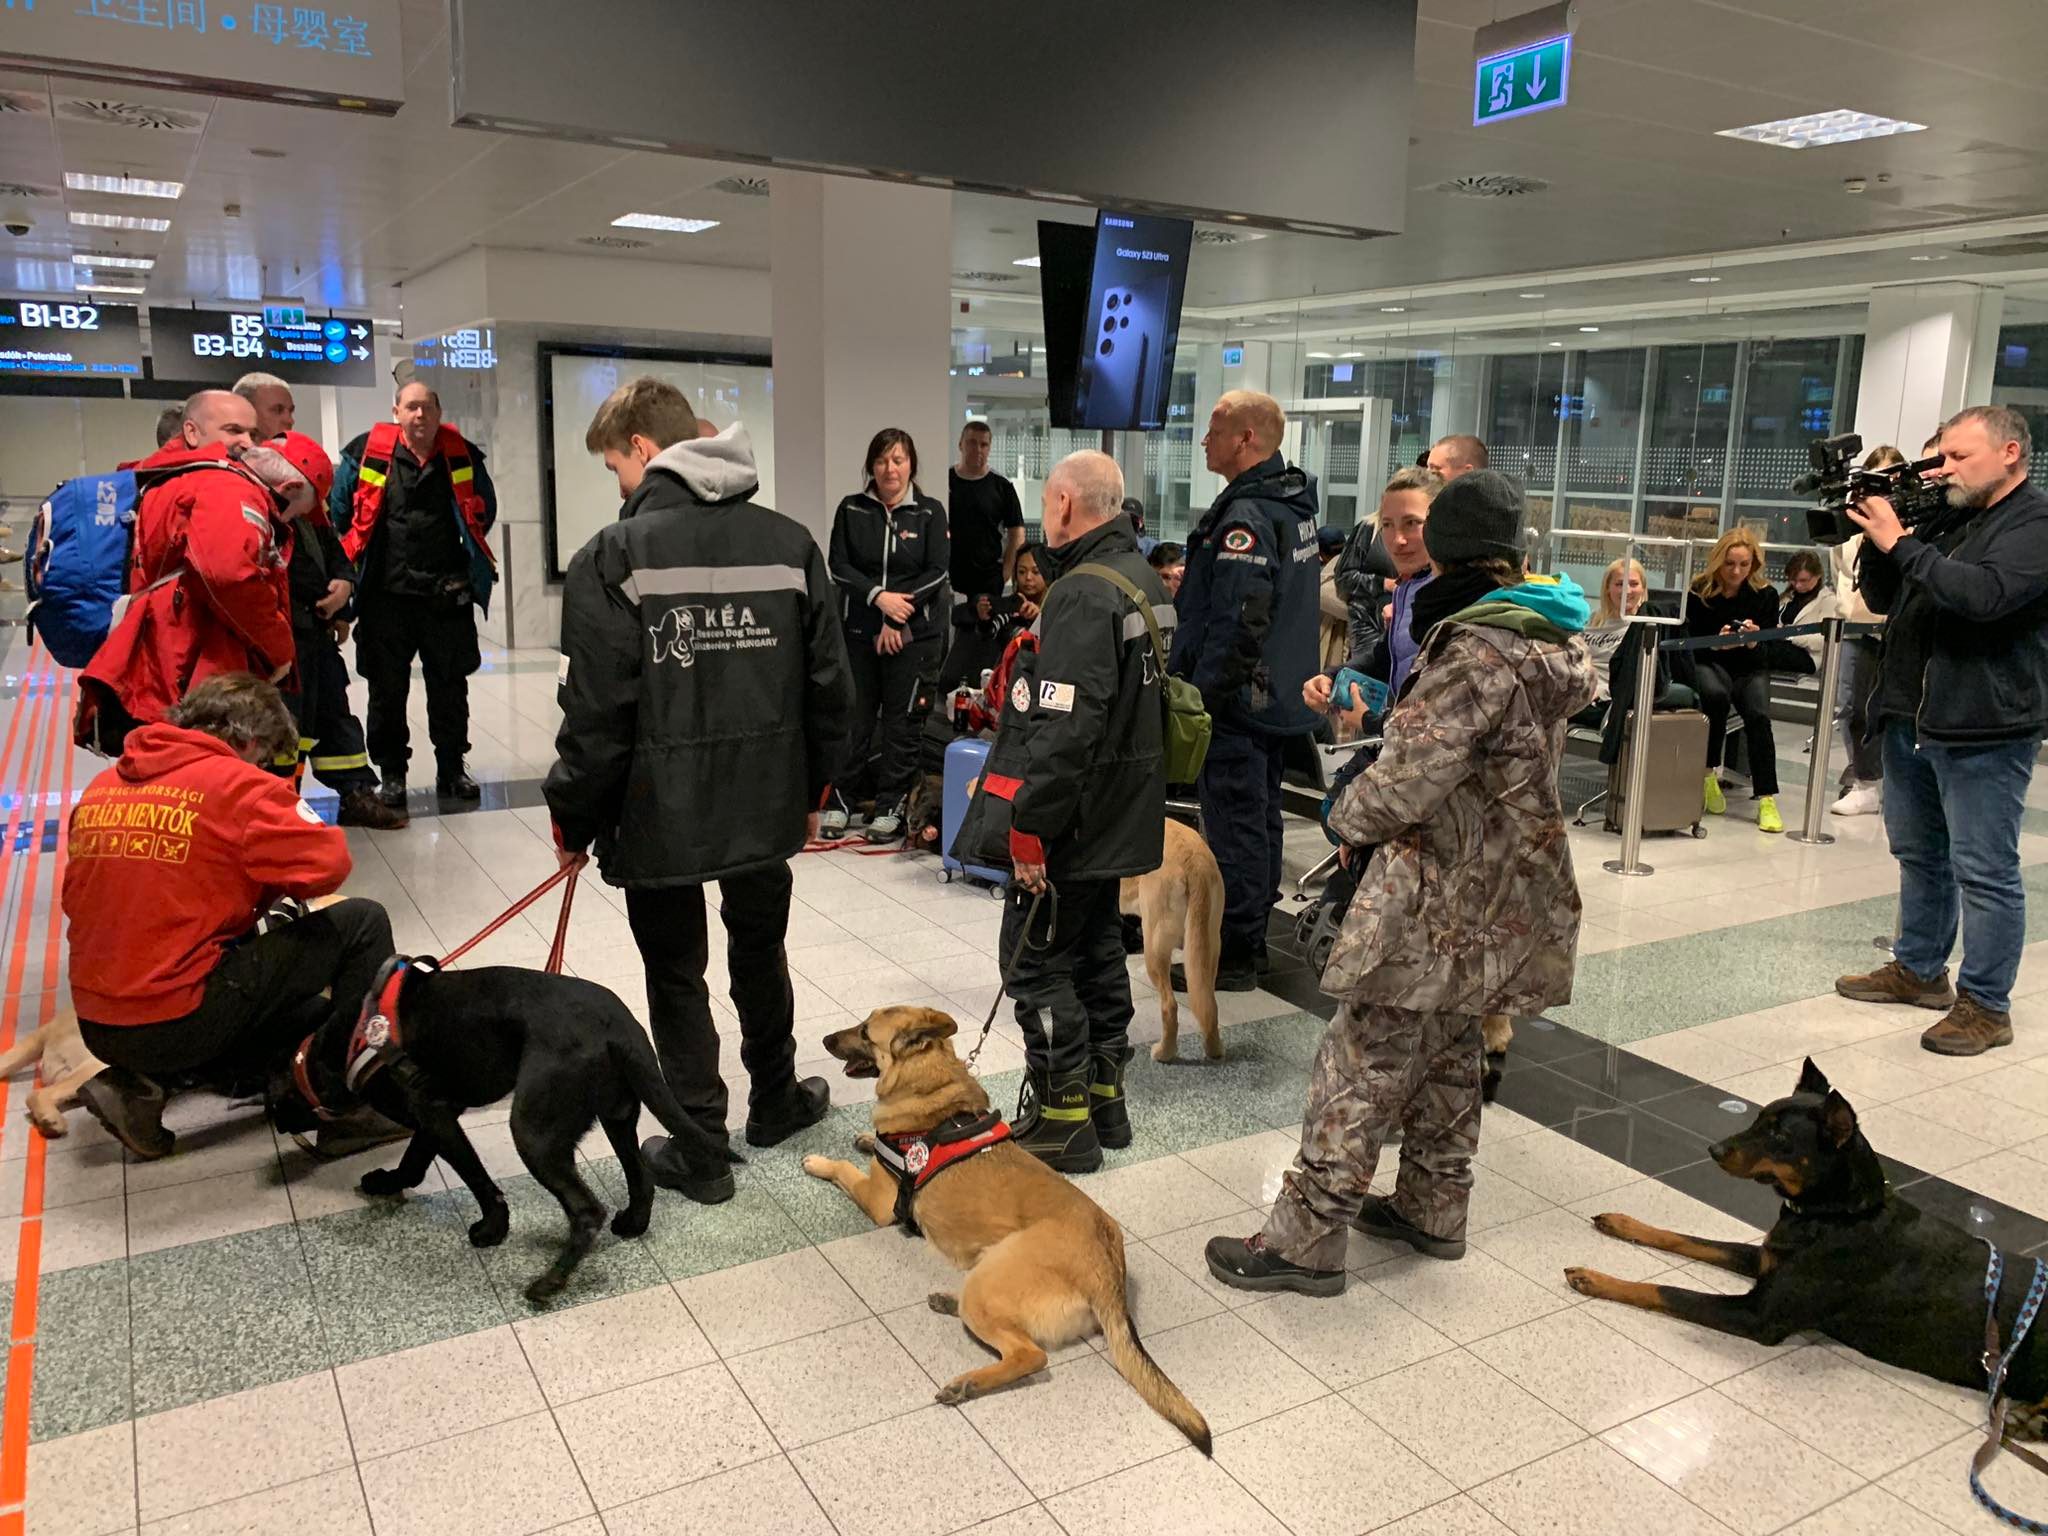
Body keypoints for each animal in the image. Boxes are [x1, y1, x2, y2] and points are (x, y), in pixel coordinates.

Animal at [288, 962, 737, 1302]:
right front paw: (390, 1181)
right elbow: (414, 1161)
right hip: (618, 1114)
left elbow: (477, 1180)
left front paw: (492, 1228)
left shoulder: (433, 1111)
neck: (347, 1038)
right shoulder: (437, 1112)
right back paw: (631, 1224)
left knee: (586, 1210)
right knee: (640, 1178)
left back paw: (551, 1281)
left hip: (532, 1130)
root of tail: (619, 1029)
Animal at [802, 1011, 1212, 1458]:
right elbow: (864, 1149)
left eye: (864, 1032)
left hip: (996, 1277)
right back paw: (949, 1302)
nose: (824, 1039)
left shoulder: (877, 1201)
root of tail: (1107, 1274)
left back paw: (968, 1382)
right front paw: (863, 1139)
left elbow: (843, 1170)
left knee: (1030, 1355)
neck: (931, 1083)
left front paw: (819, 1161)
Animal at [1130, 823, 1220, 1064]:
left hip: (1154, 947)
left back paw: (1164, 1053)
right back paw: (1214, 1049)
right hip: (1208, 949)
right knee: (1209, 1004)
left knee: (1169, 1006)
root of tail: (1195, 862)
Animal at [1564, 1064, 2031, 1441]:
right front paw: (1624, 1224)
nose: (1713, 1149)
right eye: (1756, 1118)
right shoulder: (1766, 1258)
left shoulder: (1758, 1316)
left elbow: (1667, 1290)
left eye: (1780, 1136)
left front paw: (1596, 1278)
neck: (1837, 1213)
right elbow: (1684, 1237)